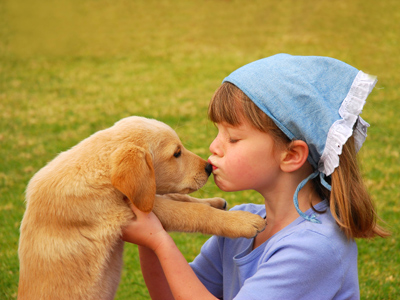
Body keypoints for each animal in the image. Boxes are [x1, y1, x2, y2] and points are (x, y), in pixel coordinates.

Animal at [18, 116, 266, 298]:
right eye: (176, 153)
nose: (208, 167)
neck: (100, 170)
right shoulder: (127, 210)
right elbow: (191, 211)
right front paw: (242, 221)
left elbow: (180, 198)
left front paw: (216, 202)